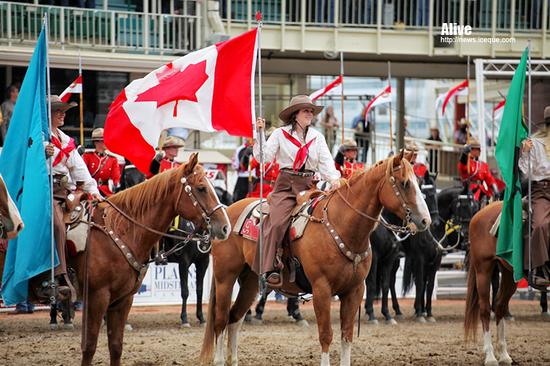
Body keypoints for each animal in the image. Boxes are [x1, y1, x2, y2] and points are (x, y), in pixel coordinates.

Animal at [71, 154, 231, 366]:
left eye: (216, 190)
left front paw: (200, 316)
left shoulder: (202, 262)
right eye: (201, 188)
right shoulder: (184, 262)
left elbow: (198, 290)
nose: (225, 227)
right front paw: (185, 318)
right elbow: (185, 291)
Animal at [201, 150, 434, 364]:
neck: (342, 227)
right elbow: (326, 335)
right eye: (405, 183)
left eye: (418, 183)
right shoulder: (322, 289)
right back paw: (219, 359)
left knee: (234, 318)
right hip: (225, 278)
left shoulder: (354, 290)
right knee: (221, 319)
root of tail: (227, 215)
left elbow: (346, 335)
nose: (425, 220)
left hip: (250, 281)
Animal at [468, 202, 520, 364]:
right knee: (485, 310)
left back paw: (504, 354)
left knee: (499, 306)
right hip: (483, 270)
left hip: (509, 272)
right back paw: (490, 357)